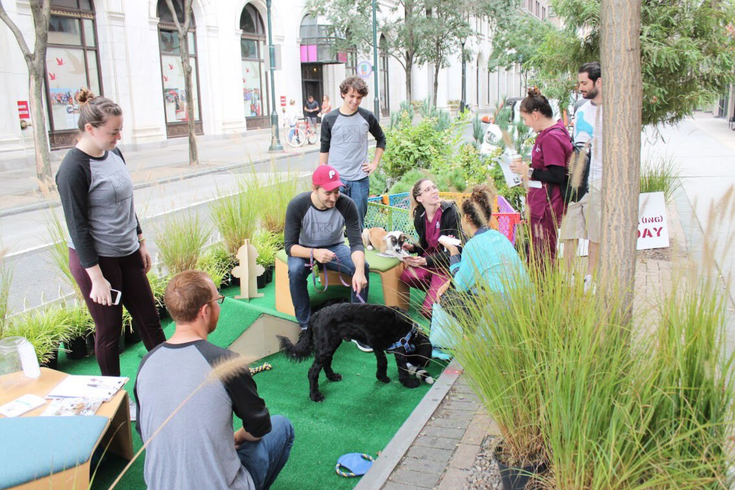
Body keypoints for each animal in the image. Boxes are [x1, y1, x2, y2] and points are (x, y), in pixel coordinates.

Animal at [278, 302, 434, 402]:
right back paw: (315, 395)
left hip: (332, 344)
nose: (423, 366)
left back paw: (332, 376)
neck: (412, 333)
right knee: (313, 372)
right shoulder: (399, 349)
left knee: (326, 362)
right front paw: (408, 383)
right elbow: (401, 368)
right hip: (326, 346)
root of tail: (316, 314)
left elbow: (382, 362)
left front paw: (382, 377)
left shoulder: (376, 345)